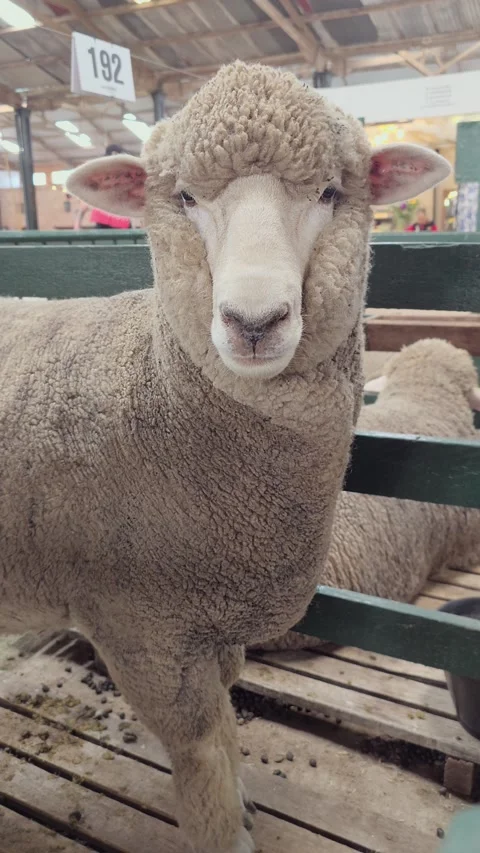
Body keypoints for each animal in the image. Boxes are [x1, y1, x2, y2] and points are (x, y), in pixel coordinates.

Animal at [0, 62, 449, 853]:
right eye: (184, 197)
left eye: (329, 192)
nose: (253, 322)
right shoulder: (142, 627)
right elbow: (203, 750)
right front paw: (223, 827)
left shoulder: (211, 623)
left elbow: (230, 733)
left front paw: (241, 804)